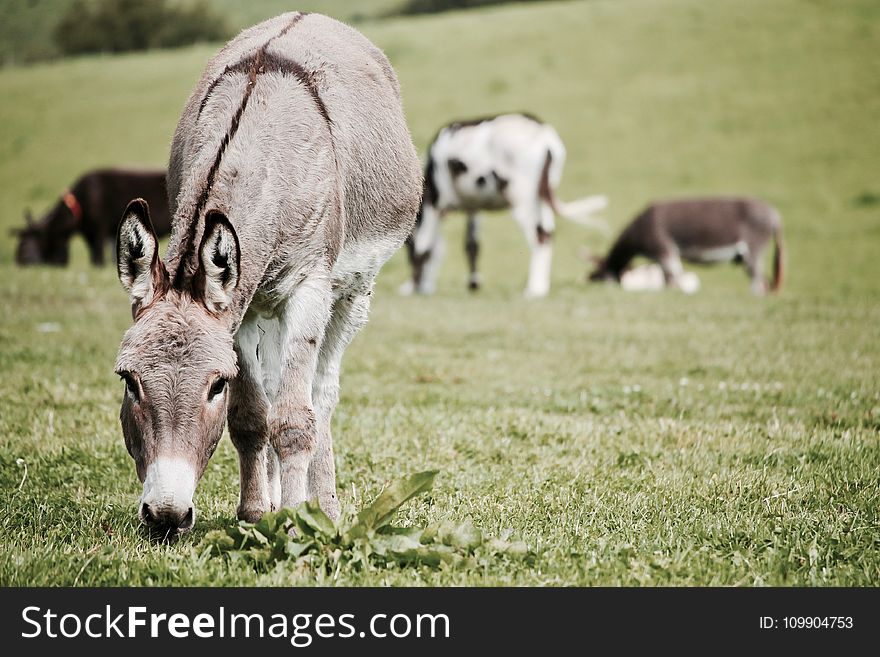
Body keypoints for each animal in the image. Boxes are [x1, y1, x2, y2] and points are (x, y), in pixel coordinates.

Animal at [404, 113, 604, 298]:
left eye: (407, 246)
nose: (423, 287)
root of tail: (542, 134)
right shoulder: (473, 206)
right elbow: (471, 245)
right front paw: (473, 284)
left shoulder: (434, 202)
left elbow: (424, 248)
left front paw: (412, 287)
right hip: (541, 198)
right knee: (547, 234)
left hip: (522, 199)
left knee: (539, 236)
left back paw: (535, 289)